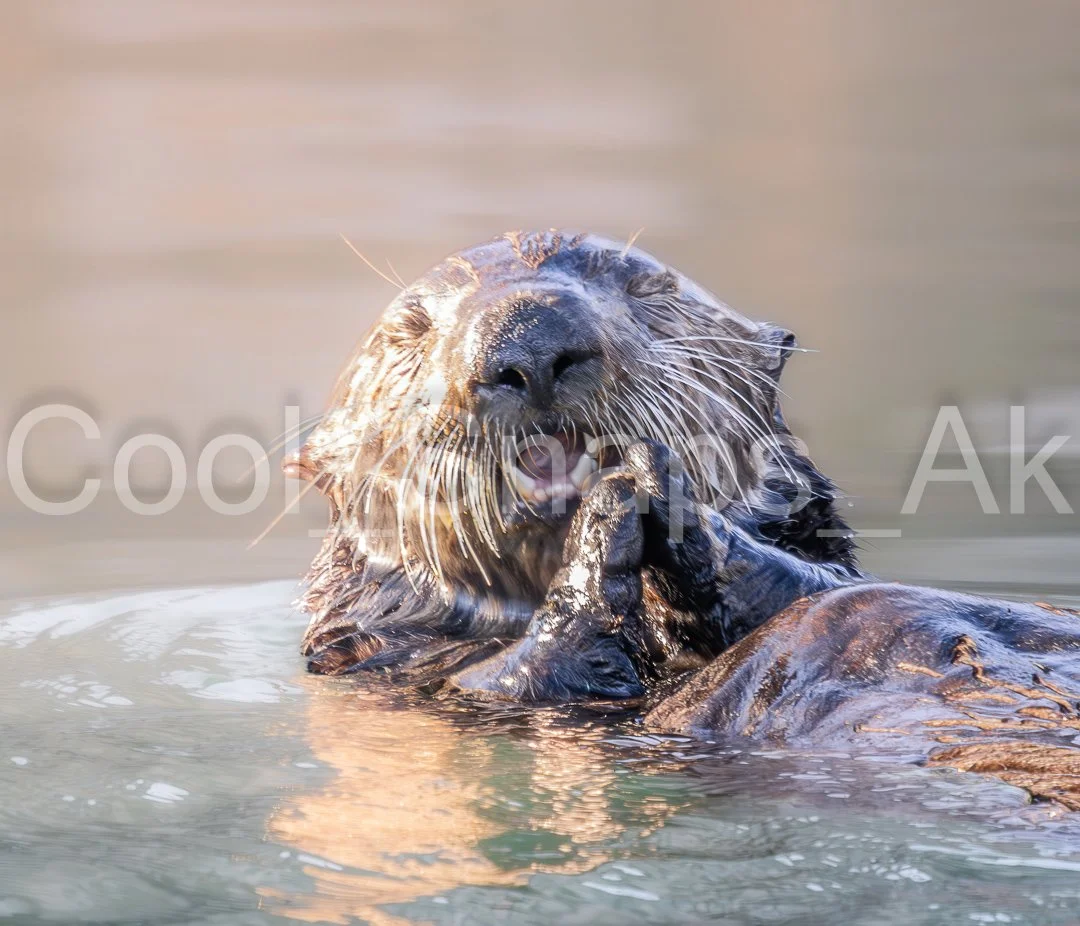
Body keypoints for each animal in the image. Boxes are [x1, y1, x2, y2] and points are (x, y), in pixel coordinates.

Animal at [289, 230, 1080, 809]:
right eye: (411, 329)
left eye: (642, 287)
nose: (530, 336)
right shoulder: (403, 674)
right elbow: (514, 678)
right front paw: (607, 522)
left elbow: (821, 579)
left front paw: (664, 496)